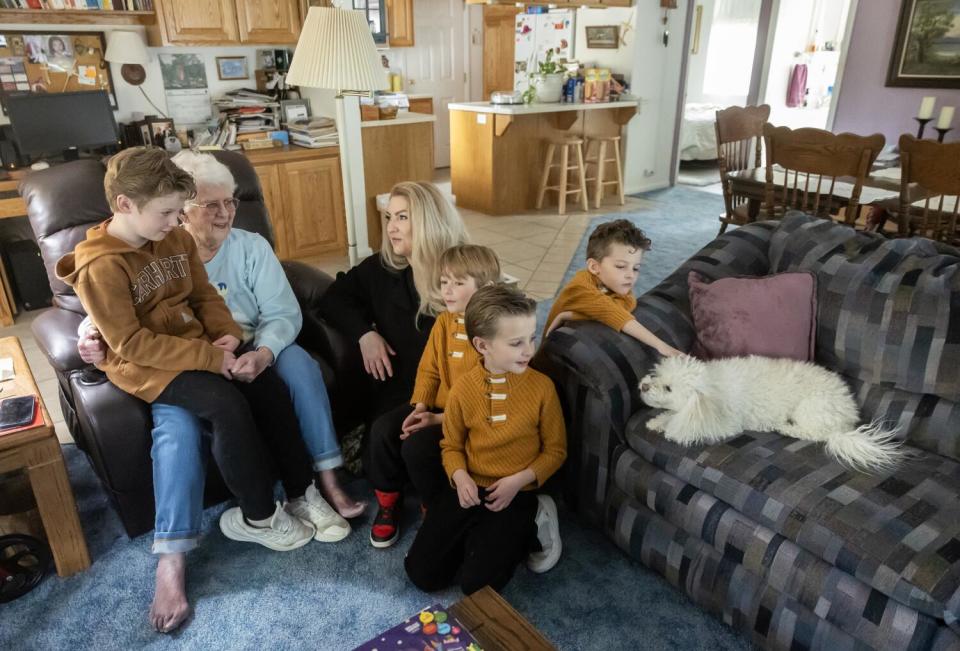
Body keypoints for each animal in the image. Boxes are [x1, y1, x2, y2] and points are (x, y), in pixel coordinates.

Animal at [640, 356, 904, 474]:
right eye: (657, 375)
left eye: (668, 388)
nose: (643, 386)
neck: (711, 386)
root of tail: (847, 422)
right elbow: (673, 415)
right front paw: (657, 421)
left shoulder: (723, 423)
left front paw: (666, 425)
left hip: (810, 408)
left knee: (814, 433)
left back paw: (785, 427)